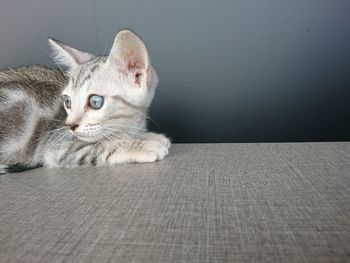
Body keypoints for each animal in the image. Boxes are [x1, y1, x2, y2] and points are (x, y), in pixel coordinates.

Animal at [0, 29, 171, 173]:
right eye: (68, 101)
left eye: (95, 102)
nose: (69, 125)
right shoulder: (57, 147)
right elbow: (101, 146)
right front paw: (142, 144)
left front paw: (149, 136)